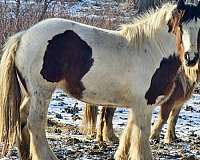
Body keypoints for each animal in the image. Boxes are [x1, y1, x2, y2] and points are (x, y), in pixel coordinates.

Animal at [0, 0, 199, 159]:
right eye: (180, 26)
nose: (191, 58)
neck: (152, 51)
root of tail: (23, 36)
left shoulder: (136, 107)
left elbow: (128, 136)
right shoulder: (144, 105)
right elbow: (141, 141)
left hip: (30, 93)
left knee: (22, 120)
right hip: (42, 92)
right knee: (35, 124)